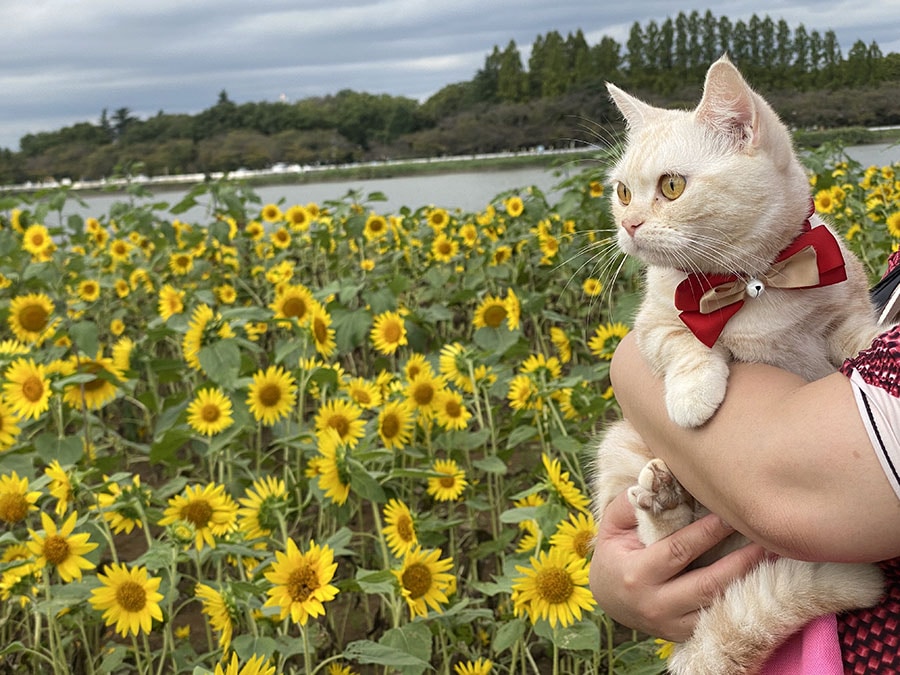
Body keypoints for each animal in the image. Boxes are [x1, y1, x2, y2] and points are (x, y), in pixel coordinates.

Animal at [592, 55, 884, 672]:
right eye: (623, 192)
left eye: (671, 186)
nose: (628, 225)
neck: (753, 282)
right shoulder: (652, 322)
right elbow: (684, 344)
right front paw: (692, 395)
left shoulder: (844, 309)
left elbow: (858, 336)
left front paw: (880, 342)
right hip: (620, 449)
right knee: (670, 547)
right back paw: (664, 501)